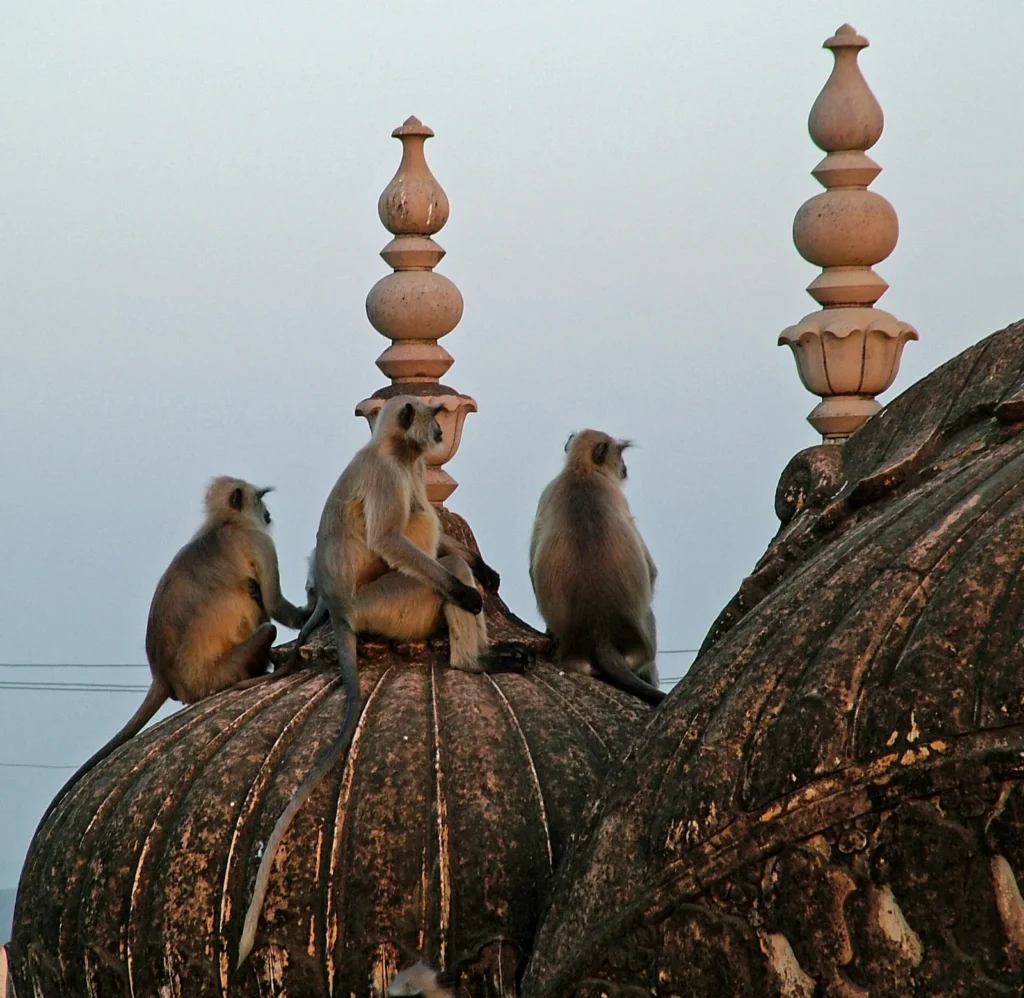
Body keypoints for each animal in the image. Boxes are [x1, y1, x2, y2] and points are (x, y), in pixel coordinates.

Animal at [37, 477, 311, 830]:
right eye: (260, 500)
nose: (267, 513)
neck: (223, 525)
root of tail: (163, 677)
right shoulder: (257, 541)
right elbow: (275, 606)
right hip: (214, 675)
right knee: (267, 630)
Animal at [235, 396, 495, 969]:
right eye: (431, 416)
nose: (439, 430)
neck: (393, 449)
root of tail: (343, 611)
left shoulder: (413, 466)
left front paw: (486, 570)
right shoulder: (388, 473)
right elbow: (390, 537)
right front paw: (467, 590)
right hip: (392, 602)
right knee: (421, 537)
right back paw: (475, 653)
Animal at [530, 430, 665, 705]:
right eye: (620, 454)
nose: (624, 468)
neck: (582, 472)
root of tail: (600, 632)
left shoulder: (547, 491)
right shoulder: (619, 498)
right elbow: (652, 571)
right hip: (642, 642)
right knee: (648, 616)